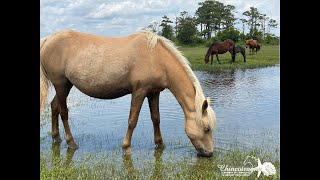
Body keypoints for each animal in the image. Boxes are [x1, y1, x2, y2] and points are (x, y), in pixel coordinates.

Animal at [38, 29, 216, 156]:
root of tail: (48, 39)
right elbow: (132, 120)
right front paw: (126, 147)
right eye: (207, 129)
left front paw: (160, 144)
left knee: (54, 106)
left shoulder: (154, 93)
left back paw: (56, 138)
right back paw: (71, 143)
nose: (209, 153)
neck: (156, 57)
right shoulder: (139, 91)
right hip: (61, 84)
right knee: (63, 112)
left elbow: (156, 119)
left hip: (66, 85)